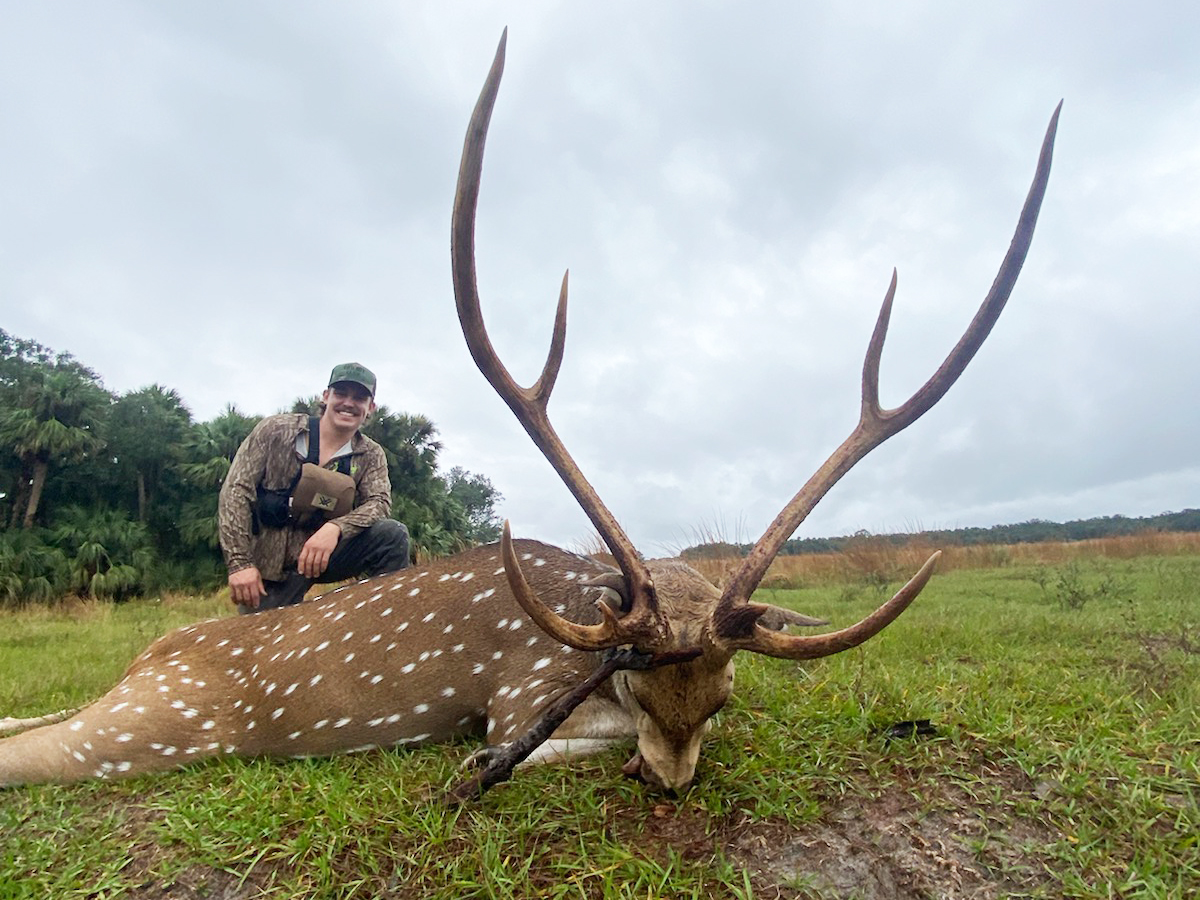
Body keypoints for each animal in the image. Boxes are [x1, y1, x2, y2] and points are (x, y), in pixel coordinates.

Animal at [0, 30, 1058, 793]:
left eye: (720, 700)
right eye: (636, 684)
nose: (669, 781)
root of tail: (157, 649)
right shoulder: (524, 693)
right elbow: (535, 738)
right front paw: (484, 759)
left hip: (134, 700)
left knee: (26, 713)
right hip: (162, 726)